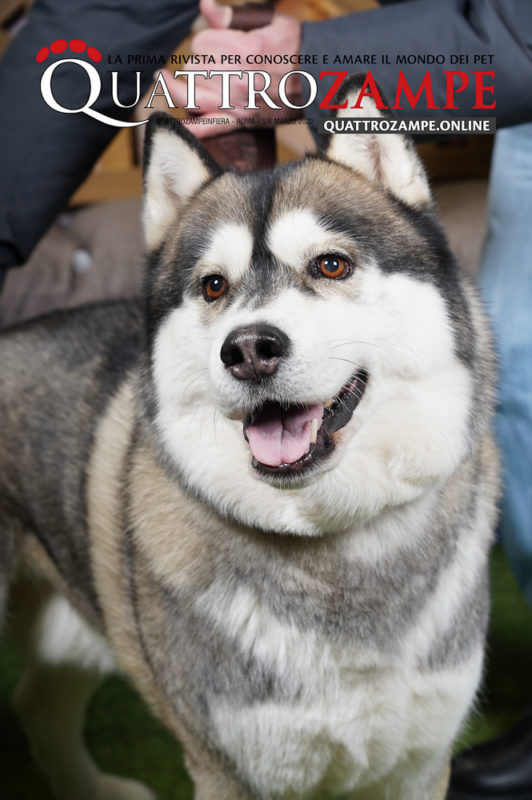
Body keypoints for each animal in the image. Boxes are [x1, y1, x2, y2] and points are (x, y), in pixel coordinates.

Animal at [0, 76, 498, 800]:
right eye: (213, 285)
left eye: (331, 265)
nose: (250, 350)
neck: (335, 552)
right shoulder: (231, 770)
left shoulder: (418, 765)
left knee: (38, 700)